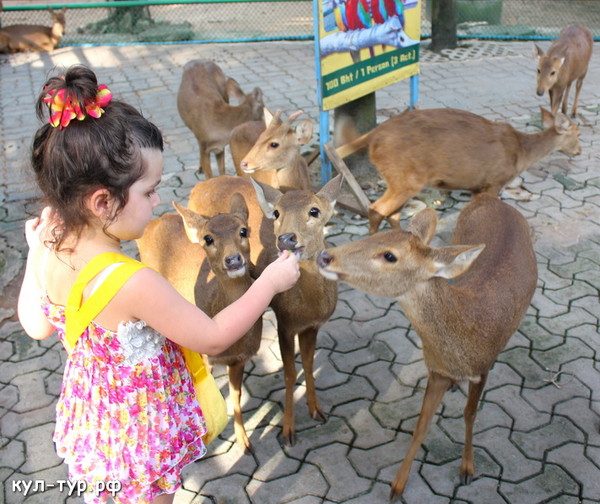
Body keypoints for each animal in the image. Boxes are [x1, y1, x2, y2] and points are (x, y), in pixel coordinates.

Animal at [137, 195, 262, 454]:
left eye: (243, 230)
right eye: (208, 238)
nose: (233, 259)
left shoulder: (240, 359)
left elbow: (236, 399)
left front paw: (244, 441)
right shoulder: (204, 353)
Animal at [190, 174, 344, 444]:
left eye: (314, 210)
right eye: (276, 212)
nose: (285, 238)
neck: (309, 307)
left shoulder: (313, 325)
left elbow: (309, 364)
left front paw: (317, 410)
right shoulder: (285, 322)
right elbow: (289, 373)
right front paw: (288, 430)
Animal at [316, 194, 536, 500]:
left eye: (389, 255)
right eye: (377, 235)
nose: (325, 256)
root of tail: (491, 198)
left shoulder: (483, 368)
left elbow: (470, 414)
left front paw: (467, 468)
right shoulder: (435, 370)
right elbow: (421, 425)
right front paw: (397, 485)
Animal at [336, 107, 580, 235]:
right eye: (578, 133)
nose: (579, 150)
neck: (521, 153)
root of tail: (374, 136)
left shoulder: (477, 186)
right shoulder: (494, 181)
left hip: (398, 178)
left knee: (392, 213)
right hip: (405, 177)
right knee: (376, 208)